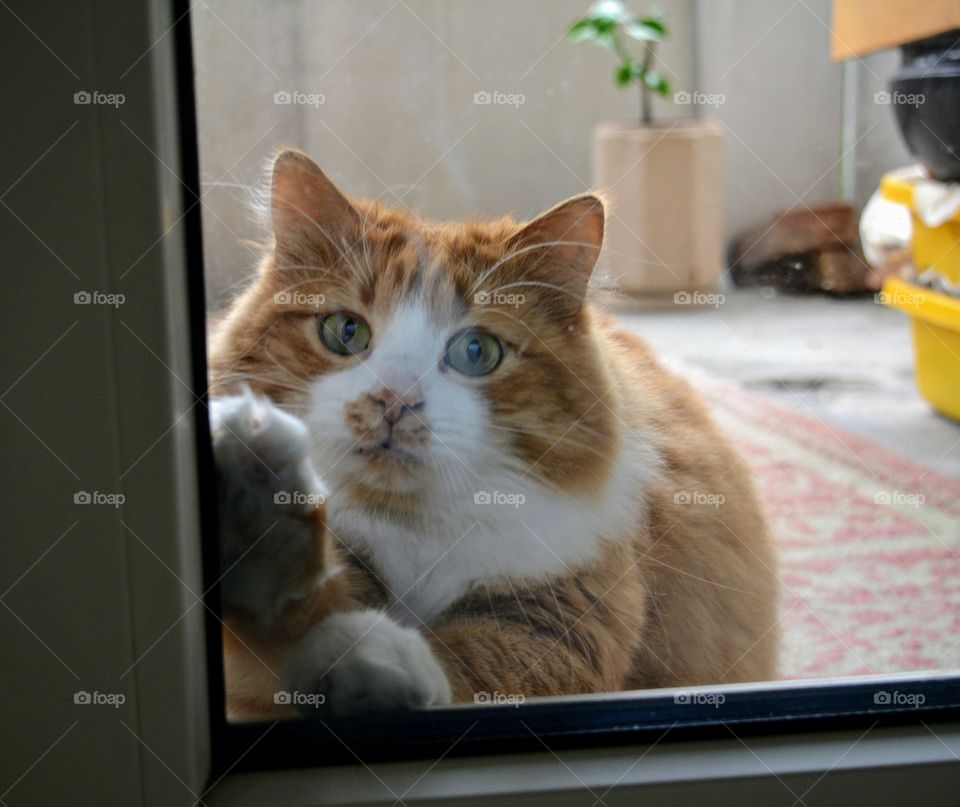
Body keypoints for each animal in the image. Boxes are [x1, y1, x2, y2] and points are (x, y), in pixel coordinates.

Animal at [210, 148, 780, 716]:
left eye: (476, 352)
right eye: (345, 332)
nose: (393, 401)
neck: (413, 529)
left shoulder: (563, 618)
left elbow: (464, 660)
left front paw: (386, 666)